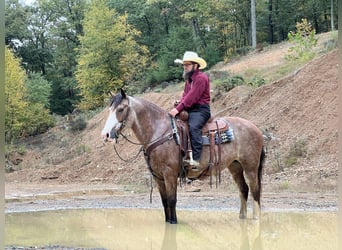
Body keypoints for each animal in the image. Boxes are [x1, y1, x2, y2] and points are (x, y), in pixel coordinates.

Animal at [100, 89, 266, 224]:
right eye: (110, 109)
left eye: (120, 109)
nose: (106, 134)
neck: (160, 132)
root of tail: (255, 128)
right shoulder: (158, 177)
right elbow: (164, 201)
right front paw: (168, 222)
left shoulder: (170, 174)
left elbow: (172, 200)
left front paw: (174, 223)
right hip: (235, 166)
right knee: (243, 189)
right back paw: (242, 217)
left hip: (250, 167)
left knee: (255, 189)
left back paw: (256, 218)